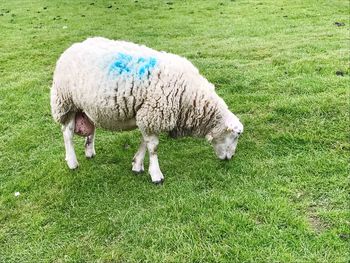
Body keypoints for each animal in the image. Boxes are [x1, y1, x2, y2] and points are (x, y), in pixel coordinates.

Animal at [50, 37, 243, 185]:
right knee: (67, 133)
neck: (190, 97)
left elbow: (144, 142)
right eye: (236, 136)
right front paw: (156, 175)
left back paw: (89, 151)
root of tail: (71, 48)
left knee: (91, 128)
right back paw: (72, 162)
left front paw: (137, 164)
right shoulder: (152, 115)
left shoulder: (147, 116)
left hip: (88, 105)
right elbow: (153, 147)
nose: (231, 158)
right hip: (66, 102)